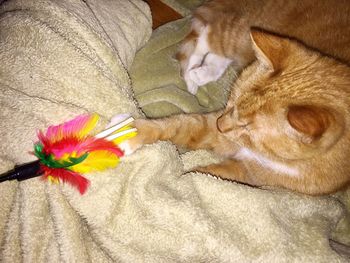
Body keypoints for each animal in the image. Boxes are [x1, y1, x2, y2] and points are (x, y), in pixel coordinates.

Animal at [122, 0, 350, 194]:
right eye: (230, 103)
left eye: (247, 127)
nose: (220, 126)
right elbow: (176, 124)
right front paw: (128, 134)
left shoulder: (250, 173)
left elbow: (209, 174)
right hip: (241, 33)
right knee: (207, 36)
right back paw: (192, 77)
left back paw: (199, 75)